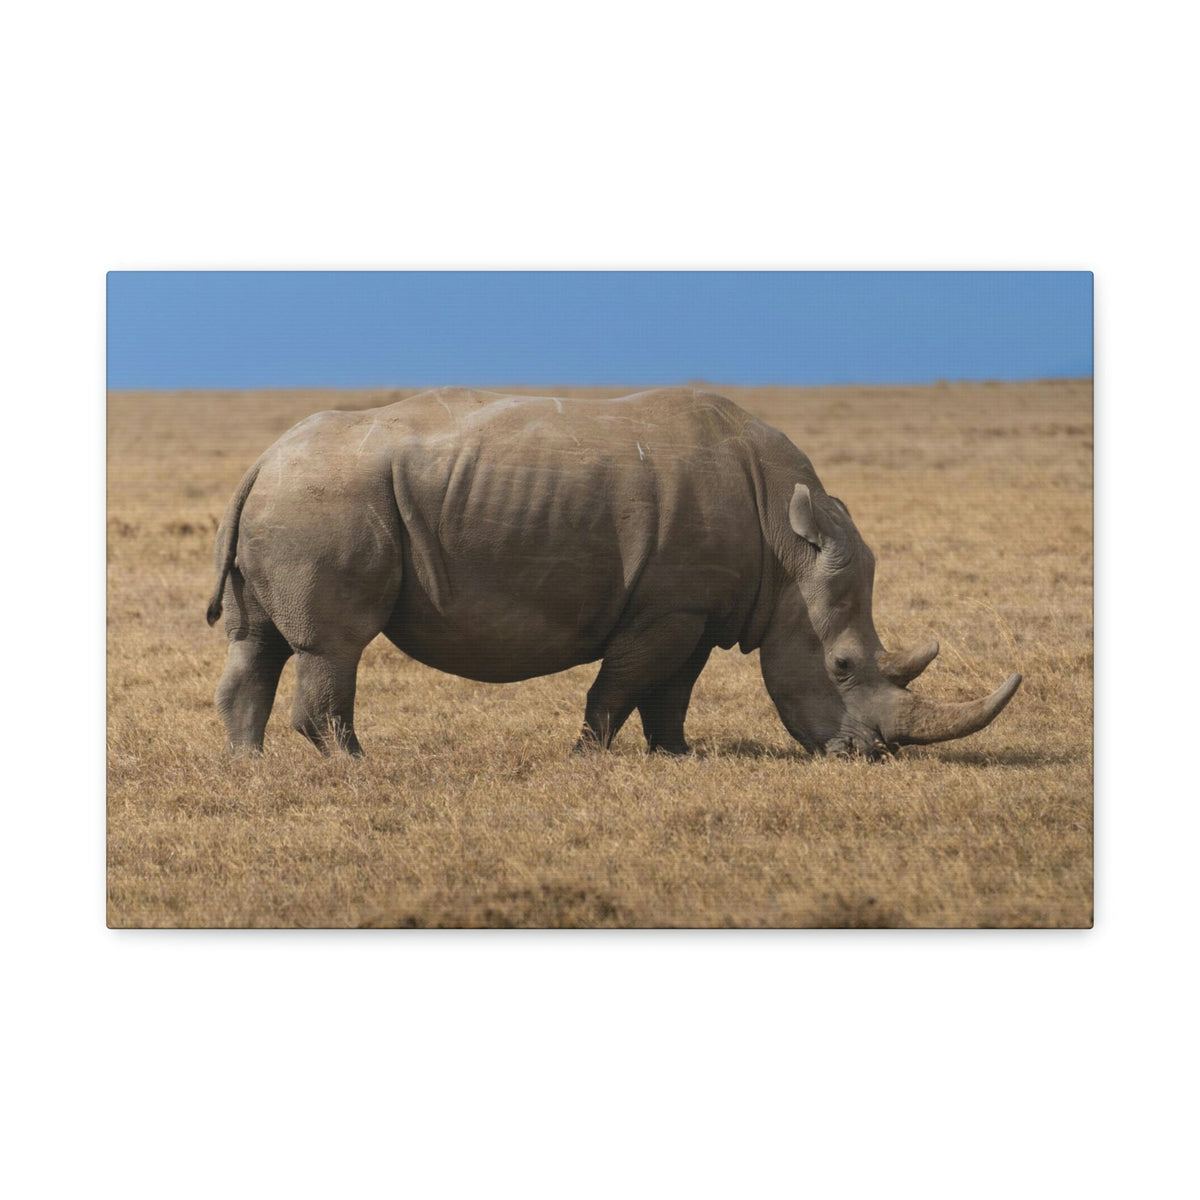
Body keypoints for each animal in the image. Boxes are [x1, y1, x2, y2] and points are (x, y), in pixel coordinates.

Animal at [207, 387, 1021, 759]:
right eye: (844, 666)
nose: (869, 755)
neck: (787, 548)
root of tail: (262, 459)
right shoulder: (668, 607)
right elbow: (622, 684)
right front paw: (588, 756)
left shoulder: (698, 608)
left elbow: (671, 691)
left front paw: (678, 756)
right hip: (324, 502)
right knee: (334, 644)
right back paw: (355, 765)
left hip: (293, 499)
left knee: (257, 642)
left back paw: (252, 765)